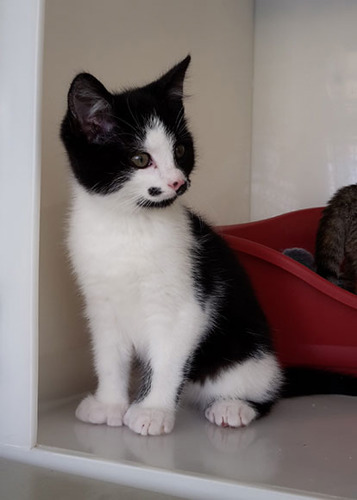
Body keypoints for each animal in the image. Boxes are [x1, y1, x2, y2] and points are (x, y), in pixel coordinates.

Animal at [59, 57, 288, 434]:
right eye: (140, 159)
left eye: (180, 150)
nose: (178, 182)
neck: (128, 225)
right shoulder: (101, 306)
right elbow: (108, 356)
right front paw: (109, 404)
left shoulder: (188, 306)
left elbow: (166, 360)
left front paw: (152, 411)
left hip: (246, 355)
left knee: (266, 391)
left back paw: (233, 406)